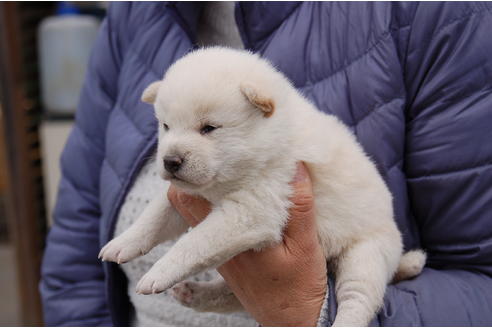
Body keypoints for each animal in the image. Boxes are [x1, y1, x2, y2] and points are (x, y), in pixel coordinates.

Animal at [99, 47, 422, 326]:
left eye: (208, 128)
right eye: (166, 126)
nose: (170, 161)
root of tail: (397, 256)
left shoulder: (252, 209)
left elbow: (193, 243)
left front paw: (159, 272)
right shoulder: (187, 195)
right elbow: (154, 217)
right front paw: (122, 243)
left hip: (365, 256)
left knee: (358, 300)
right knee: (232, 295)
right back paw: (195, 294)